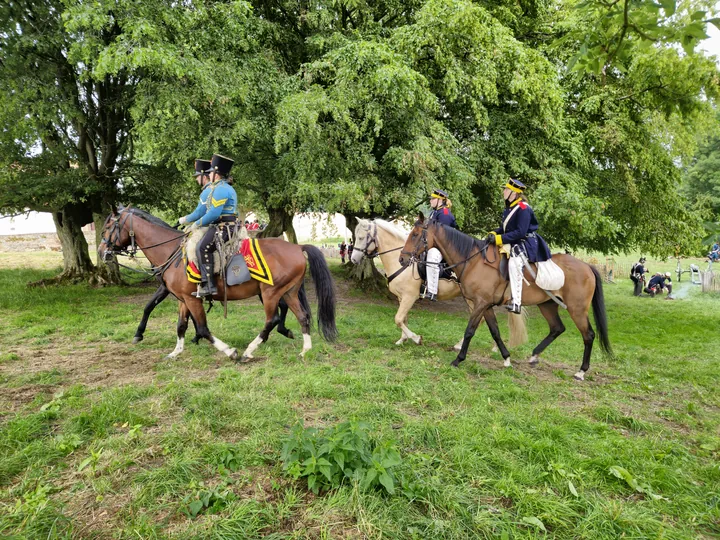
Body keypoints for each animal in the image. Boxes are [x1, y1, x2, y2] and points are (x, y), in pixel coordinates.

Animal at [98, 209, 338, 360]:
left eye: (108, 227)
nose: (101, 252)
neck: (172, 252)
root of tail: (298, 247)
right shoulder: (183, 299)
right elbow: (181, 325)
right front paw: (176, 352)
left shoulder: (190, 299)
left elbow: (203, 328)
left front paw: (229, 352)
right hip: (288, 291)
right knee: (302, 317)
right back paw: (305, 350)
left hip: (271, 292)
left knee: (273, 319)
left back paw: (249, 350)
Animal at [352, 218, 524, 350]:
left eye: (361, 237)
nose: (353, 259)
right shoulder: (402, 298)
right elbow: (403, 319)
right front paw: (402, 339)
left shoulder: (409, 297)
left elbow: (398, 319)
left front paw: (416, 338)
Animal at [396, 215, 612, 380]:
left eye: (415, 234)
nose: (402, 259)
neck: (473, 261)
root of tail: (587, 266)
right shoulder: (486, 306)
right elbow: (495, 332)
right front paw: (507, 358)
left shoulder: (480, 304)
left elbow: (470, 330)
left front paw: (458, 359)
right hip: (547, 305)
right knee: (557, 328)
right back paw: (534, 356)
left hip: (577, 310)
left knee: (588, 335)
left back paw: (581, 371)